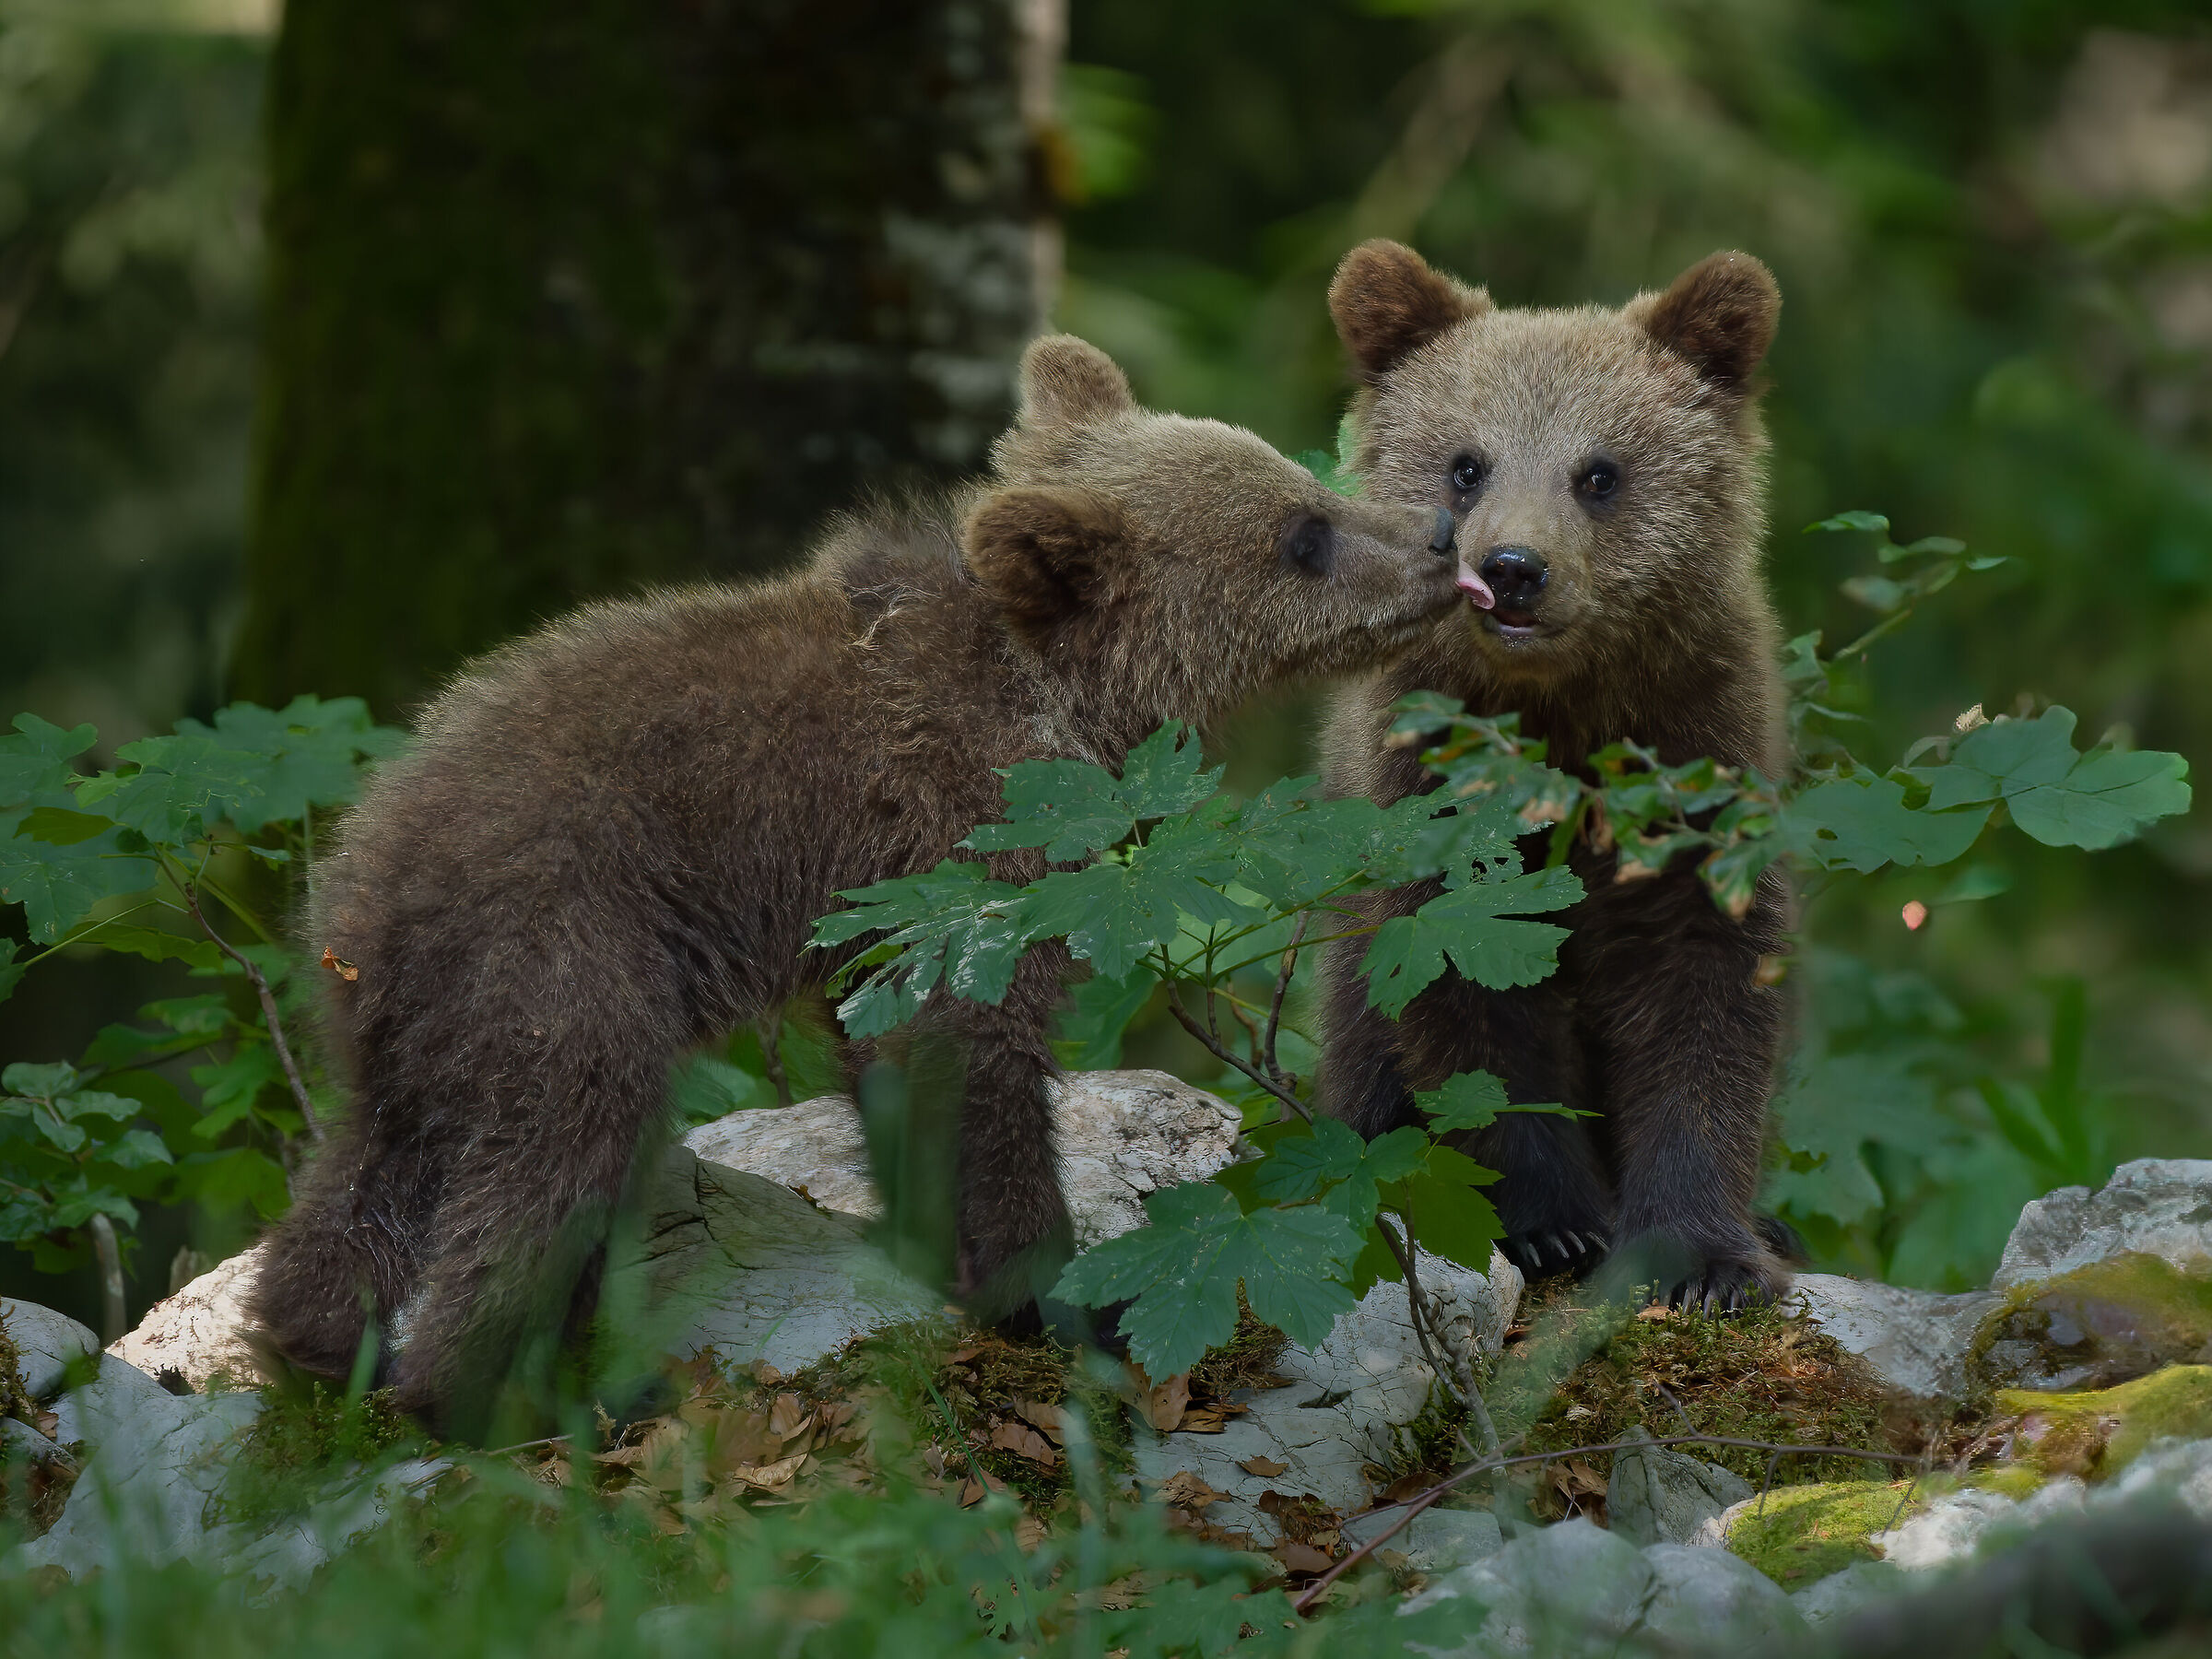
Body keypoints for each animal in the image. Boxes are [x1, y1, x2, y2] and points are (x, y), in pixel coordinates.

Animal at [246, 332, 1468, 1434]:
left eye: (1306, 487)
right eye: (1302, 536)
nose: (1438, 541)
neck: (1063, 707)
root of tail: (367, 870)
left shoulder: (882, 918)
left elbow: (895, 1069)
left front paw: (932, 1252)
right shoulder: (962, 852)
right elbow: (982, 1062)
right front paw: (1057, 1298)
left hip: (415, 1022)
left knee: (375, 1170)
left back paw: (313, 1343)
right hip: (565, 947)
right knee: (555, 1158)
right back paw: (500, 1400)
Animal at [1314, 240, 1797, 1311]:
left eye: (1600, 472)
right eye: (1466, 463)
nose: (1513, 567)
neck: (1561, 714)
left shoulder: (1694, 755)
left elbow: (1704, 994)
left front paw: (1704, 1257)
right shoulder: (1429, 789)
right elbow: (1473, 1007)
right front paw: (1555, 1227)